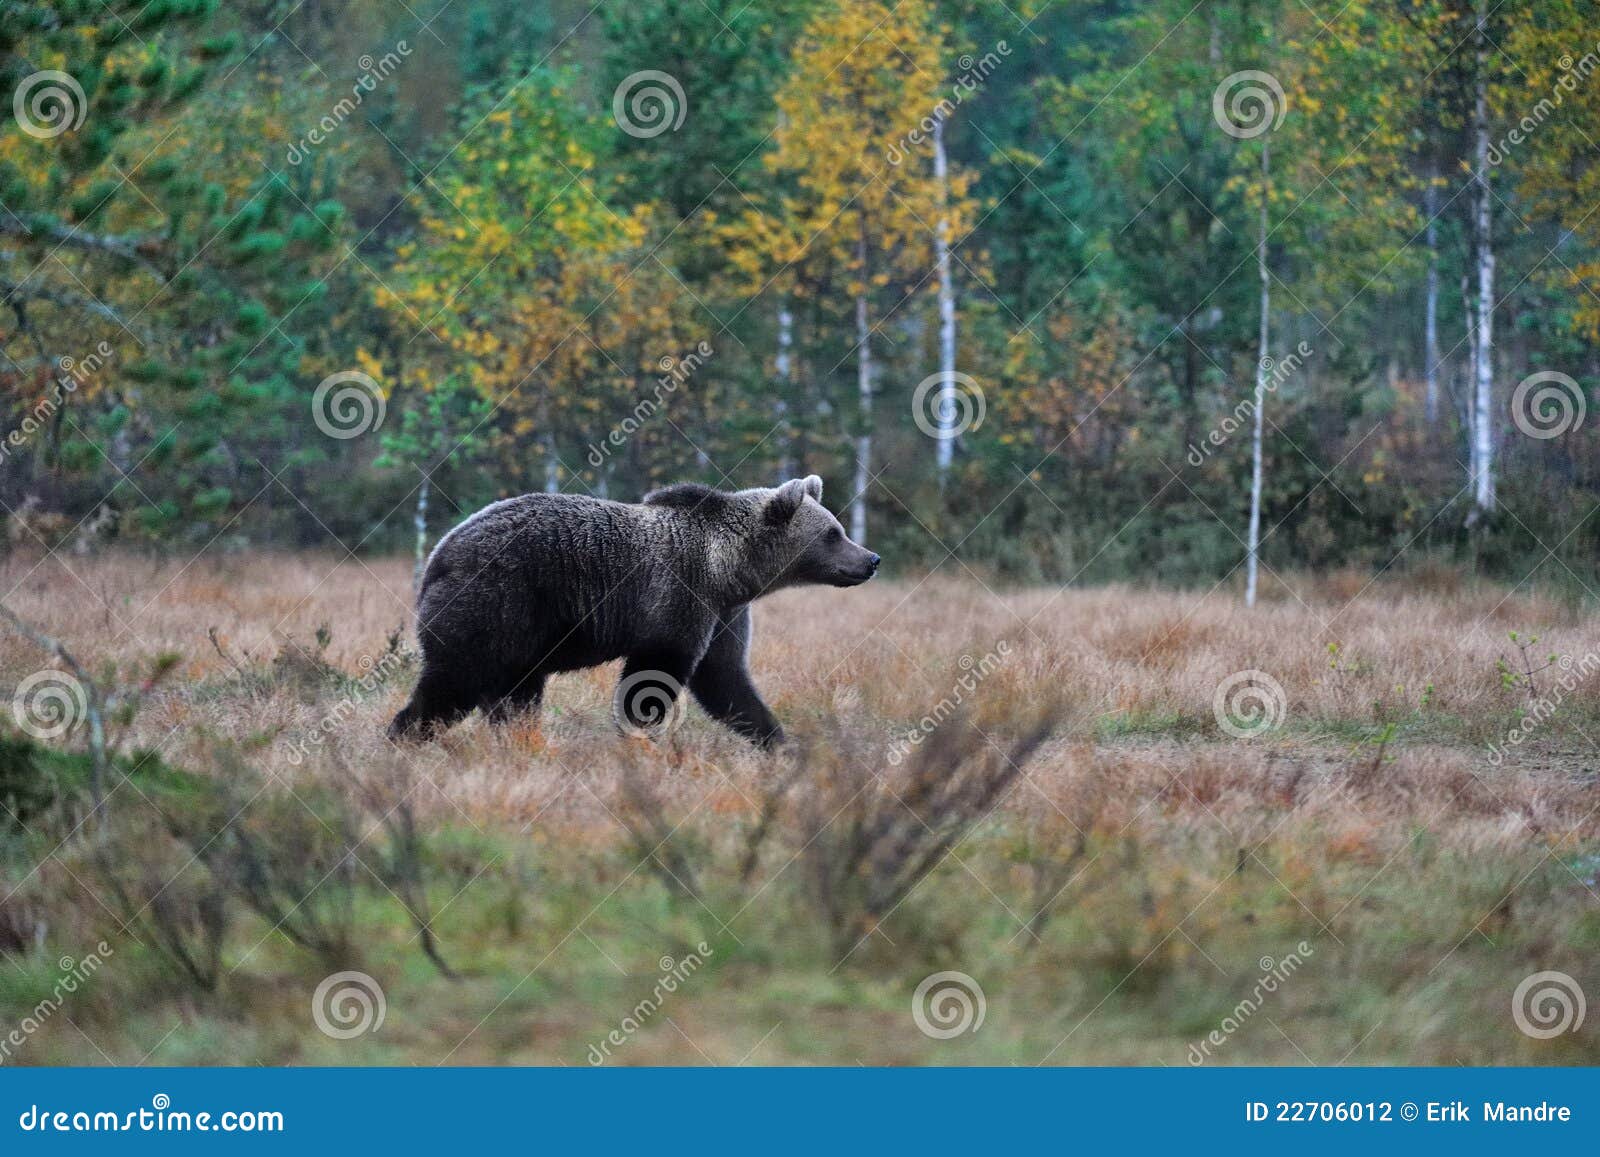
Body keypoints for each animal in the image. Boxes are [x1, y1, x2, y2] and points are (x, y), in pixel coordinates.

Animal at [387, 474, 879, 747]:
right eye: (833, 533)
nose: (870, 559)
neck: (728, 570)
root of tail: (439, 552)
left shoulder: (723, 615)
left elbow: (726, 680)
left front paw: (776, 741)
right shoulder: (677, 598)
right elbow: (652, 680)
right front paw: (638, 741)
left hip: (520, 638)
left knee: (514, 695)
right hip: (497, 600)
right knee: (455, 680)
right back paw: (403, 736)